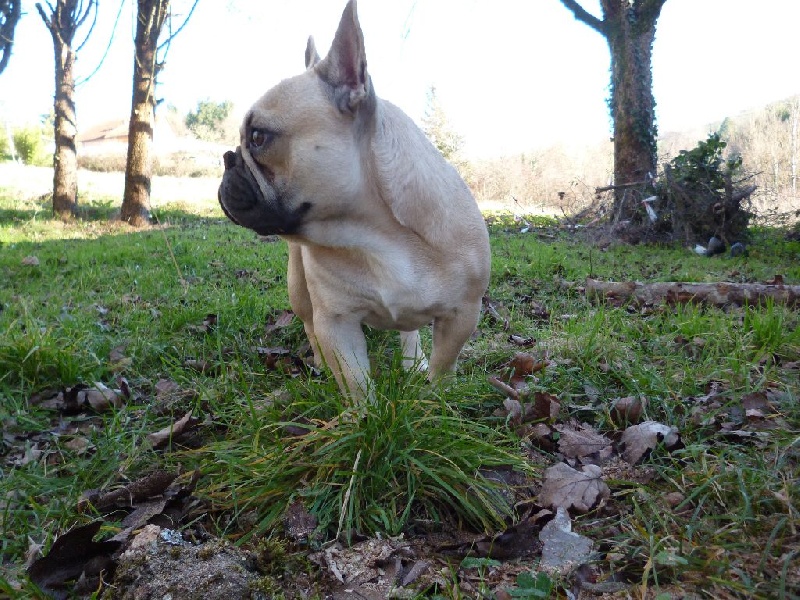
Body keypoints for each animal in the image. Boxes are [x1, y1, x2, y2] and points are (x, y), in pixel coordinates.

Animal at [218, 0, 490, 399]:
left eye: (258, 137)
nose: (227, 158)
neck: (375, 233)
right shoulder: (337, 321)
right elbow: (355, 382)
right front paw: (362, 411)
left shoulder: (462, 314)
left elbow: (443, 367)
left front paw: (433, 399)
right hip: (299, 289)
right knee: (309, 326)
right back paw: (319, 364)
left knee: (409, 331)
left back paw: (412, 363)